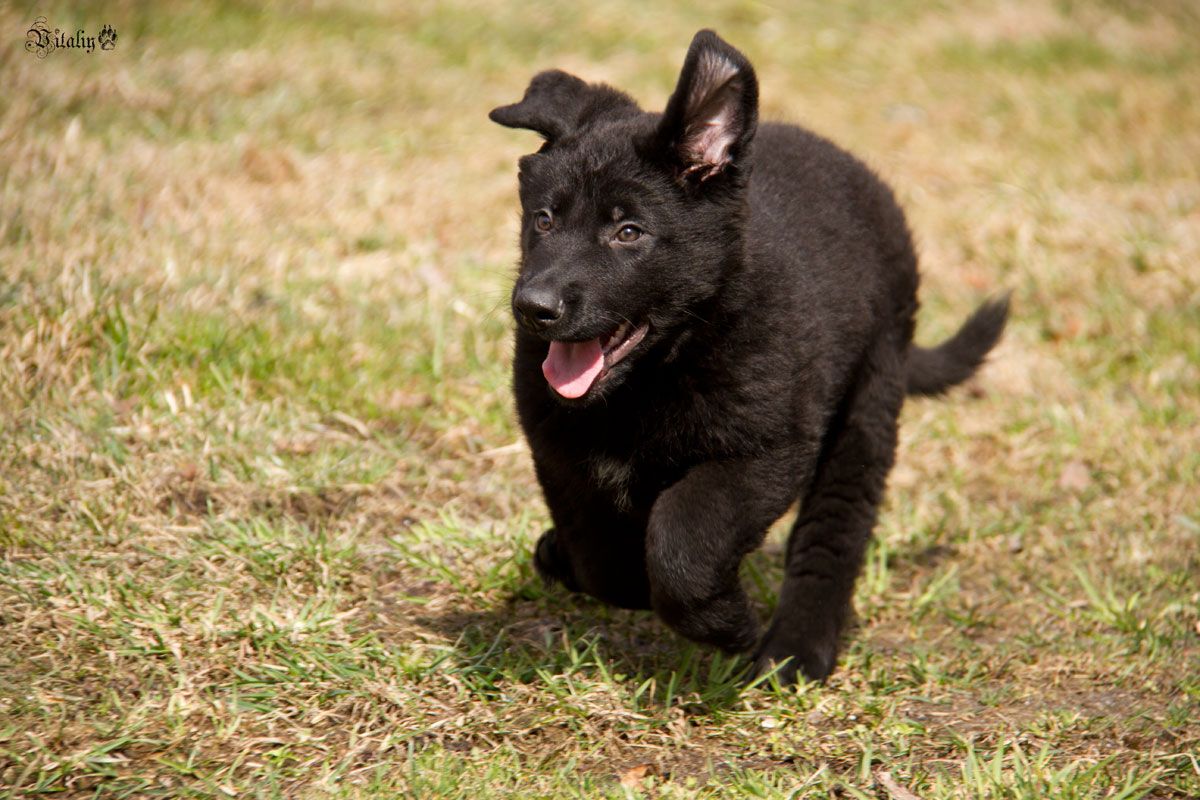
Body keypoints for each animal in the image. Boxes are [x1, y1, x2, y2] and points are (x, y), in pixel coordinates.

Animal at [487, 29, 1003, 681]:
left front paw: (727, 623)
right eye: (544, 220)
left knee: (834, 531)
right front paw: (579, 564)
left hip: (868, 401)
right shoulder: (560, 454)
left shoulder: (765, 452)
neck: (652, 377)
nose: (533, 308)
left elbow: (681, 541)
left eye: (628, 232)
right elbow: (602, 559)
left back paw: (797, 648)